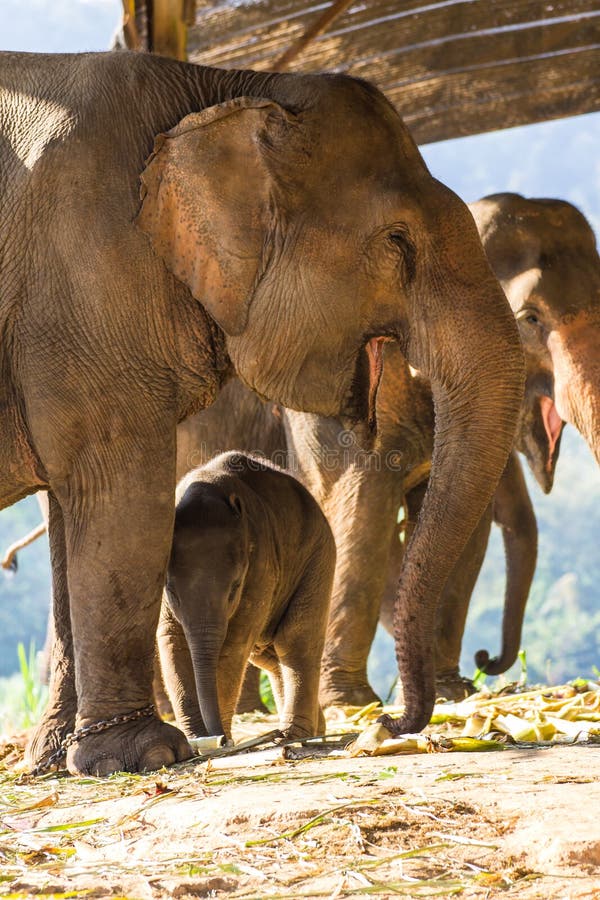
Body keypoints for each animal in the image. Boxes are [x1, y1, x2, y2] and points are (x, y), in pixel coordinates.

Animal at [158, 451, 335, 742]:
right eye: (170, 589)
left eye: (235, 587)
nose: (220, 738)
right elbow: (172, 641)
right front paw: (196, 740)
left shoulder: (261, 565)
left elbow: (233, 645)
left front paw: (214, 739)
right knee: (266, 652)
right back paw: (314, 728)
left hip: (318, 559)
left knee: (294, 640)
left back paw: (292, 734)